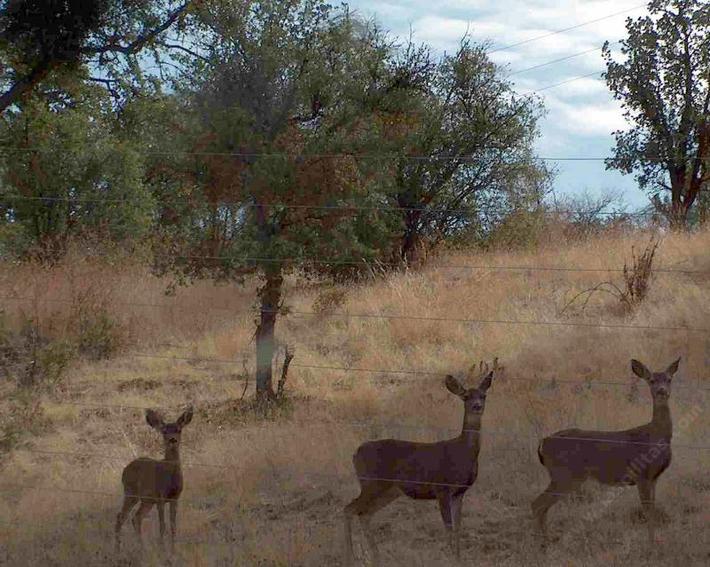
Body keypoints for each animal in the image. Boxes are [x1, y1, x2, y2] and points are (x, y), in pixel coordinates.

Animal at [115, 406, 193, 551]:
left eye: (178, 429)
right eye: (164, 431)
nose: (172, 440)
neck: (170, 478)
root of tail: (124, 470)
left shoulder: (175, 497)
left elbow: (173, 526)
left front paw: (173, 550)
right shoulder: (160, 497)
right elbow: (162, 526)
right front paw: (162, 549)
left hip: (147, 501)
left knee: (136, 518)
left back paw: (141, 548)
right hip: (131, 492)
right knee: (121, 516)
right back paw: (117, 549)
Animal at [343, 360, 498, 565]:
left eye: (483, 395)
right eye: (466, 397)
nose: (477, 406)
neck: (463, 453)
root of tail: (355, 454)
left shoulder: (459, 492)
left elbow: (458, 527)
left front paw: (458, 558)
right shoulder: (441, 487)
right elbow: (448, 527)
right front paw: (451, 557)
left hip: (390, 490)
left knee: (364, 514)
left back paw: (376, 556)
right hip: (372, 483)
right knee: (349, 509)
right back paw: (351, 557)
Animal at [532, 358, 680, 546]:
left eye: (669, 379)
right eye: (652, 380)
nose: (662, 391)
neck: (656, 437)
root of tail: (543, 443)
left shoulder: (654, 478)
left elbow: (652, 510)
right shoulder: (642, 475)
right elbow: (647, 512)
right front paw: (651, 545)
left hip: (564, 476)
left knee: (541, 506)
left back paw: (546, 541)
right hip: (564, 474)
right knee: (537, 504)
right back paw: (542, 543)